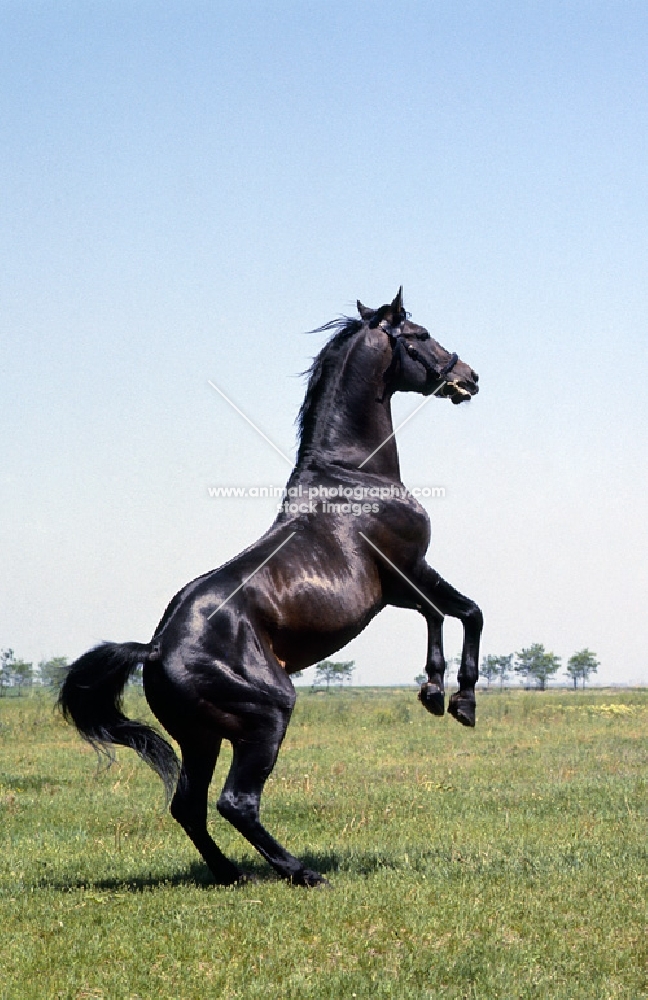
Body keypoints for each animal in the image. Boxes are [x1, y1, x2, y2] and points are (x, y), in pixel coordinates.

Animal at [59, 288, 480, 884]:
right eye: (420, 335)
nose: (468, 376)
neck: (355, 477)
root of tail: (156, 649)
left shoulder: (397, 589)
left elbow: (438, 615)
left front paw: (433, 692)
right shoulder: (409, 569)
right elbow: (466, 611)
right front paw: (461, 701)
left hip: (201, 737)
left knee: (188, 804)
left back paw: (230, 874)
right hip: (265, 717)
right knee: (236, 801)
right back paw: (300, 872)